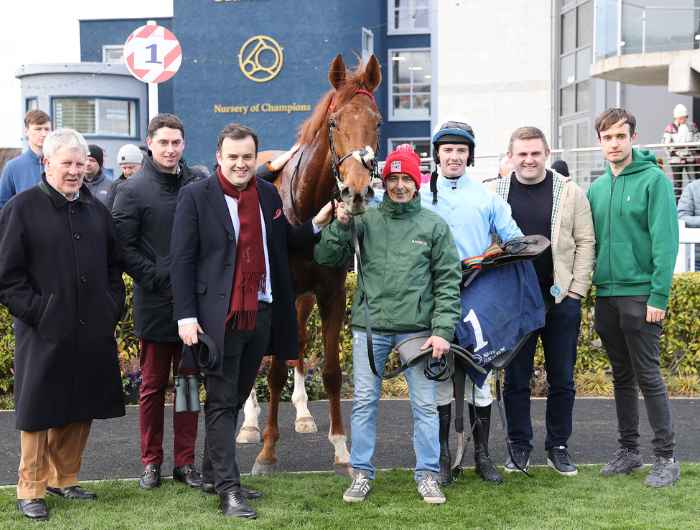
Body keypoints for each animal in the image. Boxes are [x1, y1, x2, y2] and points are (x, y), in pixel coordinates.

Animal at [237, 54, 382, 474]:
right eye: (334, 123)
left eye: (377, 121)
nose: (356, 191)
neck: (301, 206)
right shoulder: (279, 294)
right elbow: (272, 370)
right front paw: (267, 450)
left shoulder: (331, 292)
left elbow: (331, 371)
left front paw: (342, 448)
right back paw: (248, 424)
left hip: (301, 300)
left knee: (299, 342)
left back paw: (302, 414)